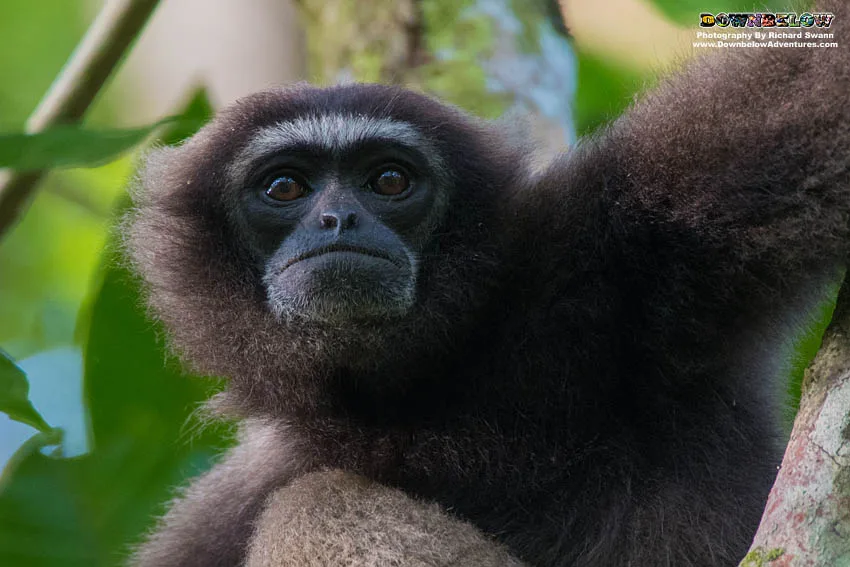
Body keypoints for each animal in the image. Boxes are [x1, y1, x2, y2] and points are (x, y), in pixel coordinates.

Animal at [126, 2, 850, 565]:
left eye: (390, 180)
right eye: (284, 188)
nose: (339, 218)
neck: (412, 391)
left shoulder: (629, 246)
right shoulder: (244, 488)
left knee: (316, 504)